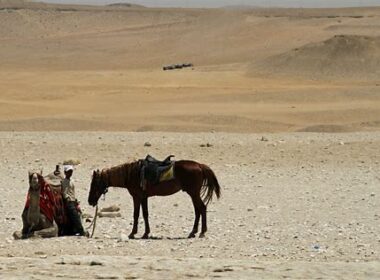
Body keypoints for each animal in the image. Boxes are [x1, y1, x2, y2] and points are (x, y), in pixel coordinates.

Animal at [88, 159, 221, 240]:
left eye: (94, 184)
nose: (90, 201)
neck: (131, 174)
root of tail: (199, 165)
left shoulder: (137, 197)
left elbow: (136, 214)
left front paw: (132, 233)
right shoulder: (144, 197)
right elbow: (145, 214)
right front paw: (145, 233)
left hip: (193, 193)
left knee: (201, 208)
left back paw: (202, 232)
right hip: (193, 193)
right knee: (198, 210)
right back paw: (193, 232)